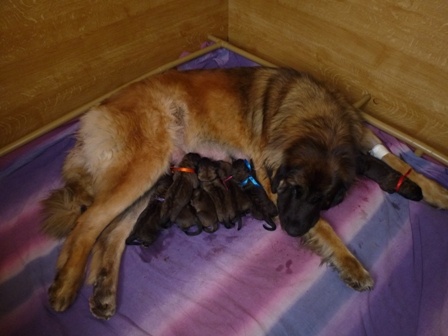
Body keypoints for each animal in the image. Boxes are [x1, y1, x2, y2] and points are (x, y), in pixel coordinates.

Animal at [42, 65, 448, 318]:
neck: (318, 120)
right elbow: (326, 227)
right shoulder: (271, 180)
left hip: (152, 176)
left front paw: (437, 191)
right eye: (295, 191)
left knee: (110, 233)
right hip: (144, 165)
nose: (292, 230)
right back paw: (66, 286)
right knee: (87, 226)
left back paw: (104, 291)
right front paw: (349, 263)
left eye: (323, 198)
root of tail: (93, 115)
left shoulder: (360, 134)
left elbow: (402, 163)